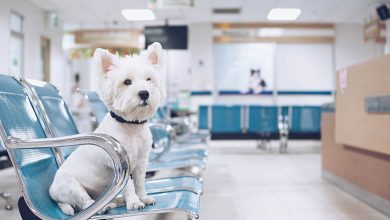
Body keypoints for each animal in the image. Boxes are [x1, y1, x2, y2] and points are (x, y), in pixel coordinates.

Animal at [49, 42, 165, 215]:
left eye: (149, 79)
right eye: (127, 82)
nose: (144, 93)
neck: (131, 126)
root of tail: (52, 193)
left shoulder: (141, 162)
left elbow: (139, 183)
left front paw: (143, 198)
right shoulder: (123, 164)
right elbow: (128, 186)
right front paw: (134, 202)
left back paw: (115, 202)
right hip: (70, 184)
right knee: (84, 202)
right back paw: (103, 207)